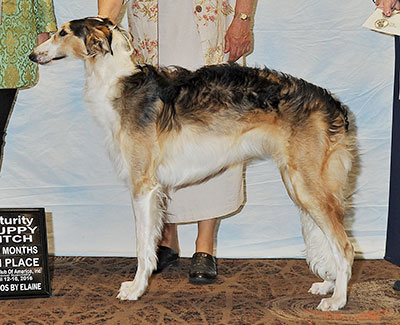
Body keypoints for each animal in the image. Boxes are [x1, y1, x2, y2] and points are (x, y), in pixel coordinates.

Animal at [31, 17, 356, 308]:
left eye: (62, 32)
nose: (33, 55)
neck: (118, 81)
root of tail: (332, 103)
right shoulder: (155, 190)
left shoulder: (142, 185)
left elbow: (141, 246)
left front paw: (136, 289)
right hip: (300, 185)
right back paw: (327, 285)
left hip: (307, 185)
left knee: (346, 247)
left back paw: (338, 300)